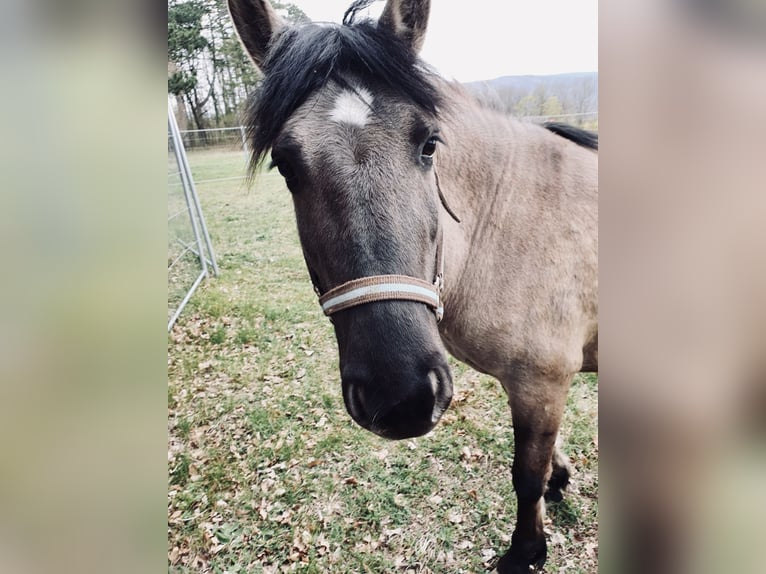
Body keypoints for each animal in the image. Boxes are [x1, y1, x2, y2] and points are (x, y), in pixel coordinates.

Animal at [228, 2, 600, 572]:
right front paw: (559, 481)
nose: (399, 396)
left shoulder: (542, 380)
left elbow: (525, 475)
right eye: (285, 164)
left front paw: (525, 552)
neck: (507, 223)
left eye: (428, 144)